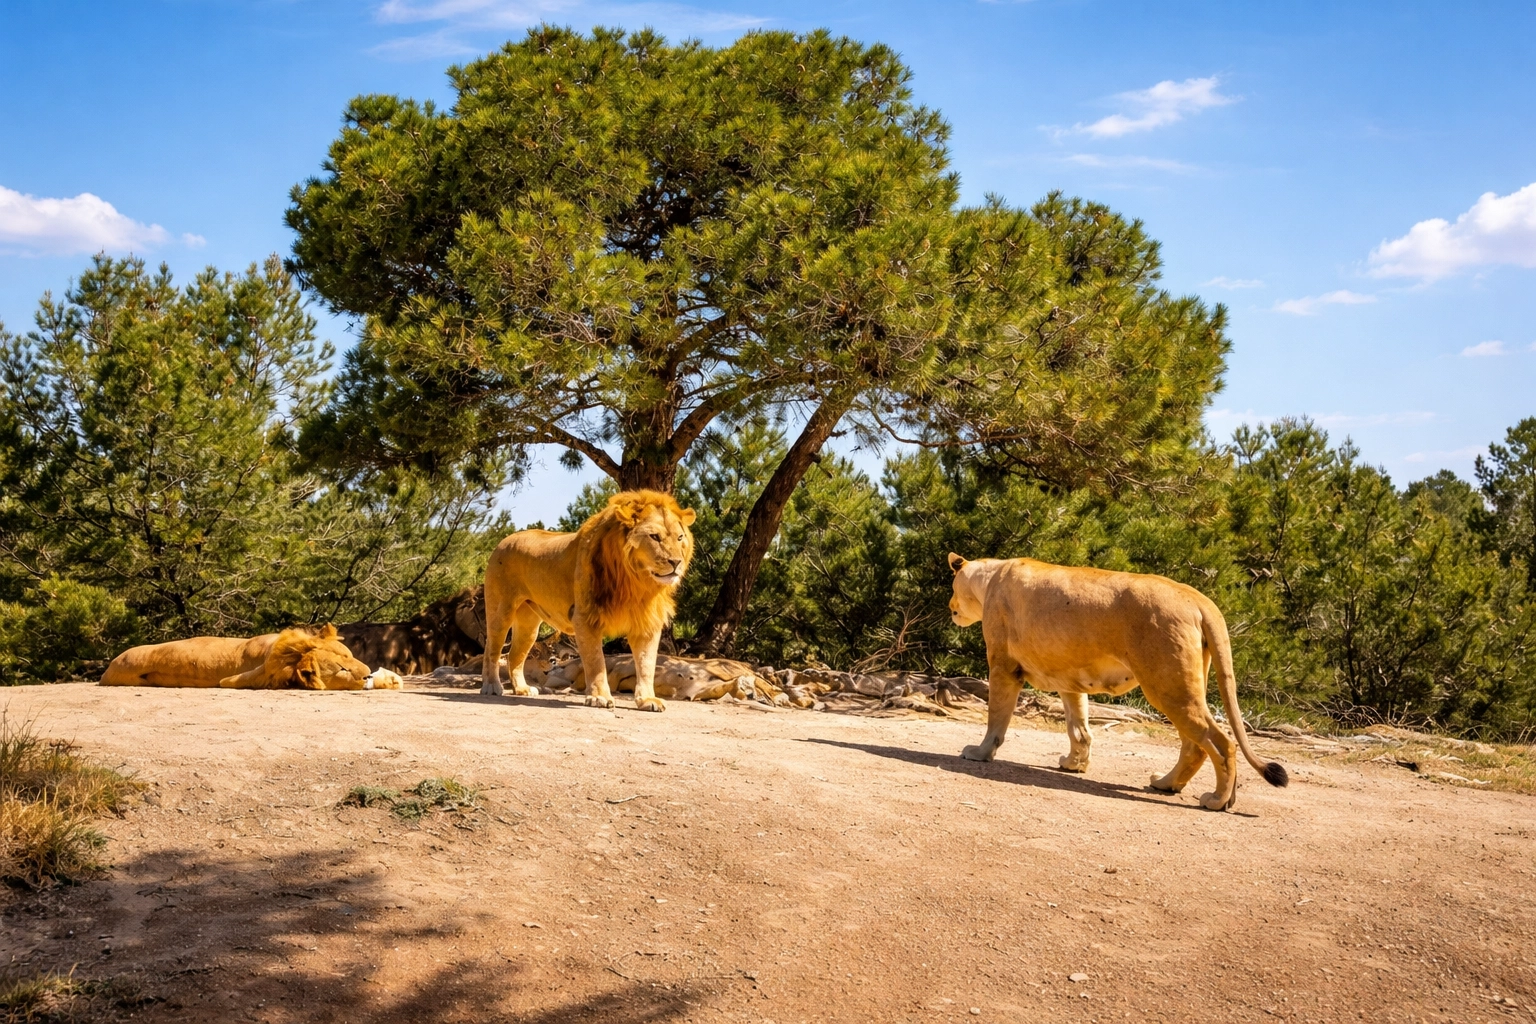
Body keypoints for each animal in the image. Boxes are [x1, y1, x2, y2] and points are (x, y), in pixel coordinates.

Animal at [481, 489, 695, 711]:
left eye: (680, 537)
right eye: (654, 537)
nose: (676, 562)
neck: (638, 584)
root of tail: (503, 541)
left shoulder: (647, 624)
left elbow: (647, 664)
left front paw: (647, 699)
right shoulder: (585, 617)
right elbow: (596, 661)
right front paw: (599, 697)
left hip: (529, 625)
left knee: (515, 654)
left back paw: (521, 689)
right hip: (501, 612)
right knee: (492, 650)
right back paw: (491, 687)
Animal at [947, 554, 1287, 811]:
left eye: (952, 588)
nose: (950, 609)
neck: (989, 577)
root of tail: (1198, 598)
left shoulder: (1004, 667)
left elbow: (996, 718)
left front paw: (979, 753)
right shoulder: (1068, 678)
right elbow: (1078, 727)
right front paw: (1074, 764)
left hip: (1167, 686)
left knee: (1221, 743)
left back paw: (1216, 800)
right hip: (1184, 686)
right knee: (1194, 745)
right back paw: (1167, 784)